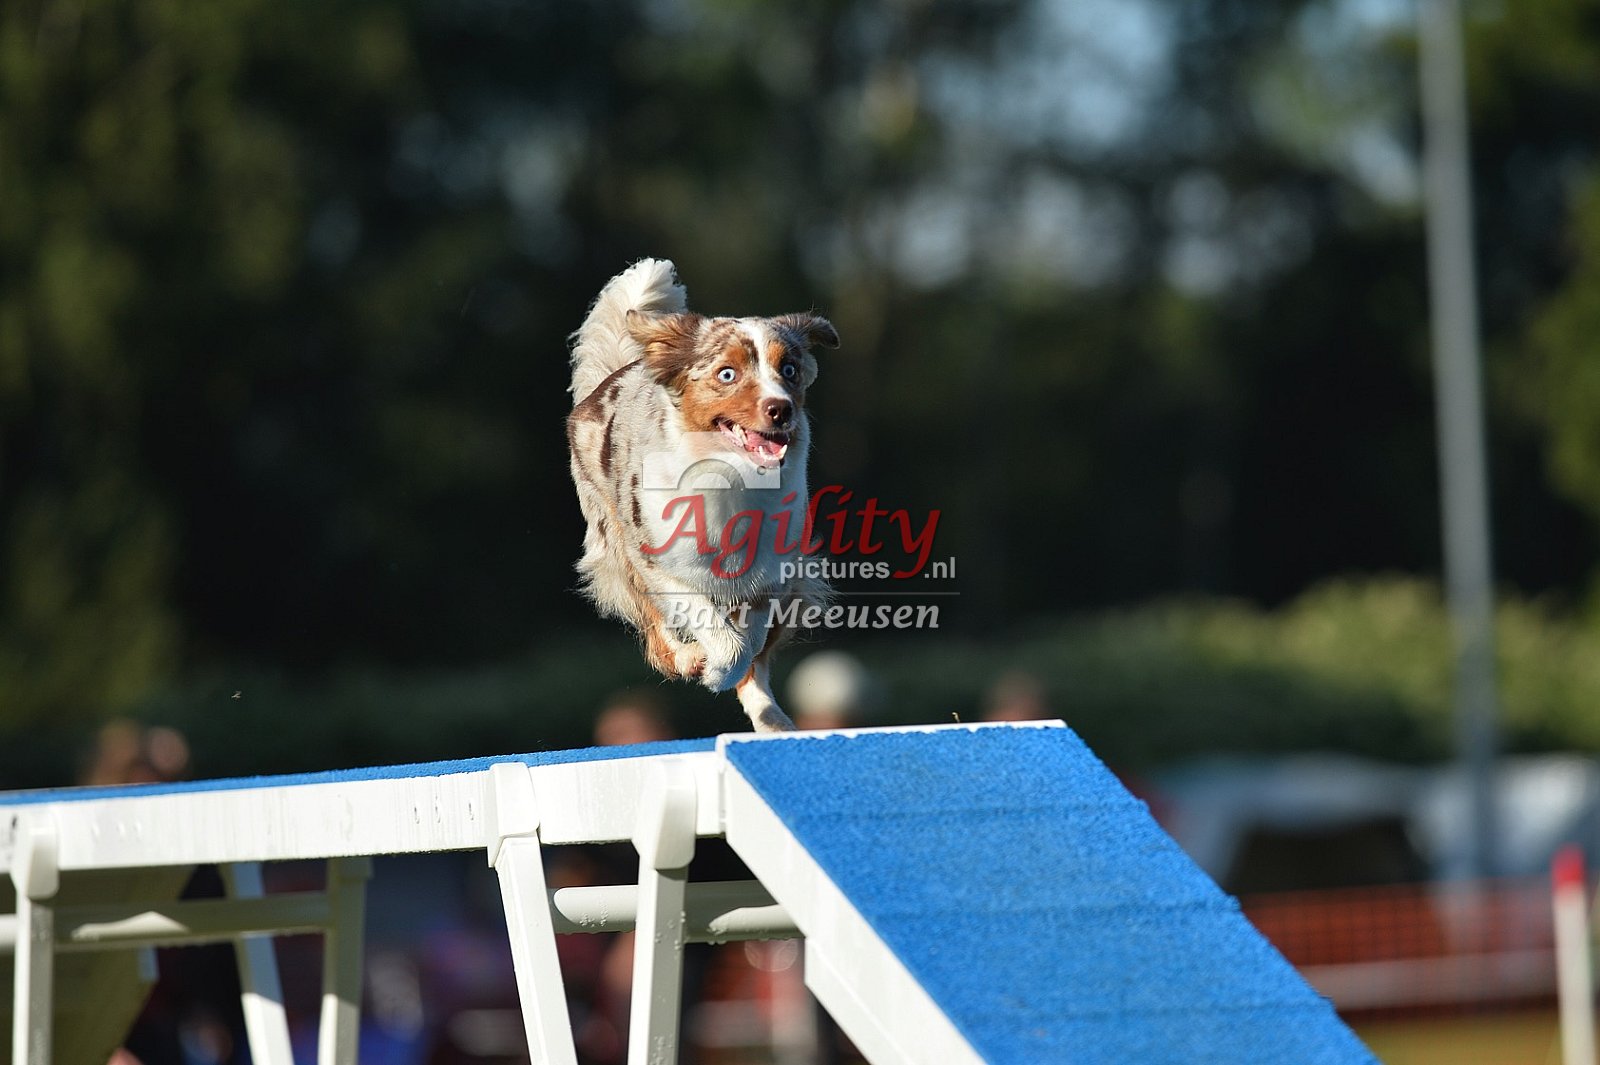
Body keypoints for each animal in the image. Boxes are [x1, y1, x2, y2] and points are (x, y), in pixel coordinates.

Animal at [567, 259, 839, 731]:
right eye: (727, 374)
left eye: (789, 369)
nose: (780, 409)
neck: (731, 478)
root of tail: (617, 374)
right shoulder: (659, 563)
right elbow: (720, 635)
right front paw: (710, 668)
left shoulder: (771, 577)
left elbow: (748, 646)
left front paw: (726, 672)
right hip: (616, 547)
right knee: (658, 642)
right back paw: (689, 658)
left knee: (758, 660)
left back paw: (773, 722)